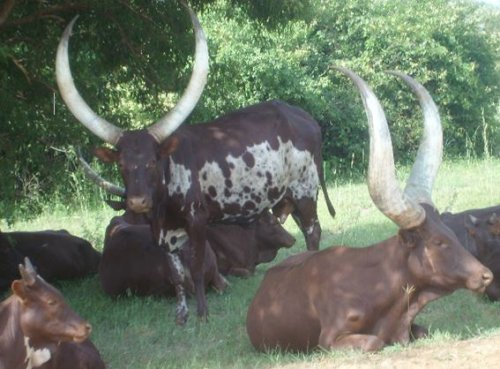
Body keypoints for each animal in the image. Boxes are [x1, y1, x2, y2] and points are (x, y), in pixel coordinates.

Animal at [54, 2, 334, 322]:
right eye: (121, 164)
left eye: (154, 161)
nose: (138, 201)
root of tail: (306, 118)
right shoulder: (165, 233)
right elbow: (177, 273)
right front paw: (182, 315)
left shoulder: (197, 220)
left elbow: (197, 267)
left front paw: (202, 313)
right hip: (288, 197)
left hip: (306, 191)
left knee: (313, 231)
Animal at [246, 67, 492, 352]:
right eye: (438, 242)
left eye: (452, 234)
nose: (486, 275)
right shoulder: (330, 339)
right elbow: (374, 341)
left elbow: (422, 331)